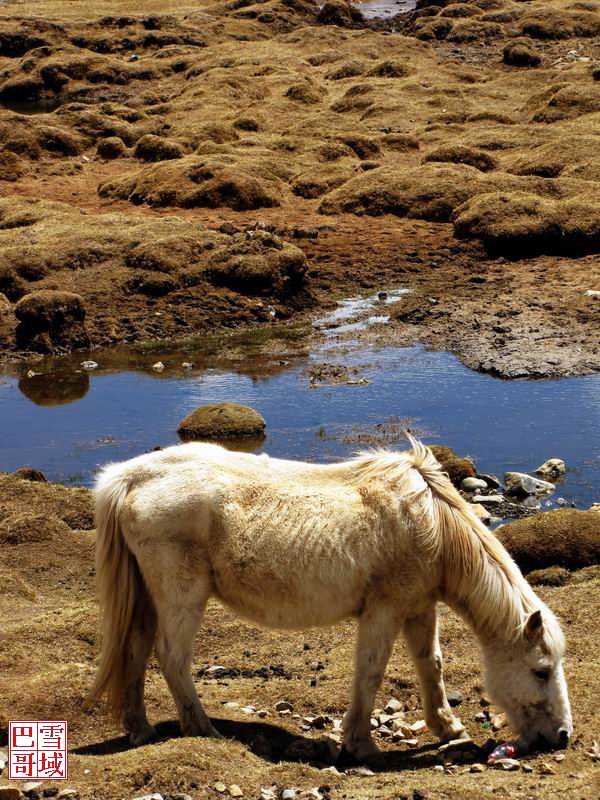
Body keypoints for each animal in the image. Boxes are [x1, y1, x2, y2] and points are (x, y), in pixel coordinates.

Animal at [89, 438, 572, 764]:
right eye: (541, 670)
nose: (563, 736)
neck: (432, 524)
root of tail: (129, 477)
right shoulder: (384, 610)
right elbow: (371, 672)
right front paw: (361, 745)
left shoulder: (419, 606)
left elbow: (430, 664)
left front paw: (447, 728)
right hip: (181, 596)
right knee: (172, 658)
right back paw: (202, 730)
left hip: (148, 598)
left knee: (135, 650)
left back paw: (140, 730)